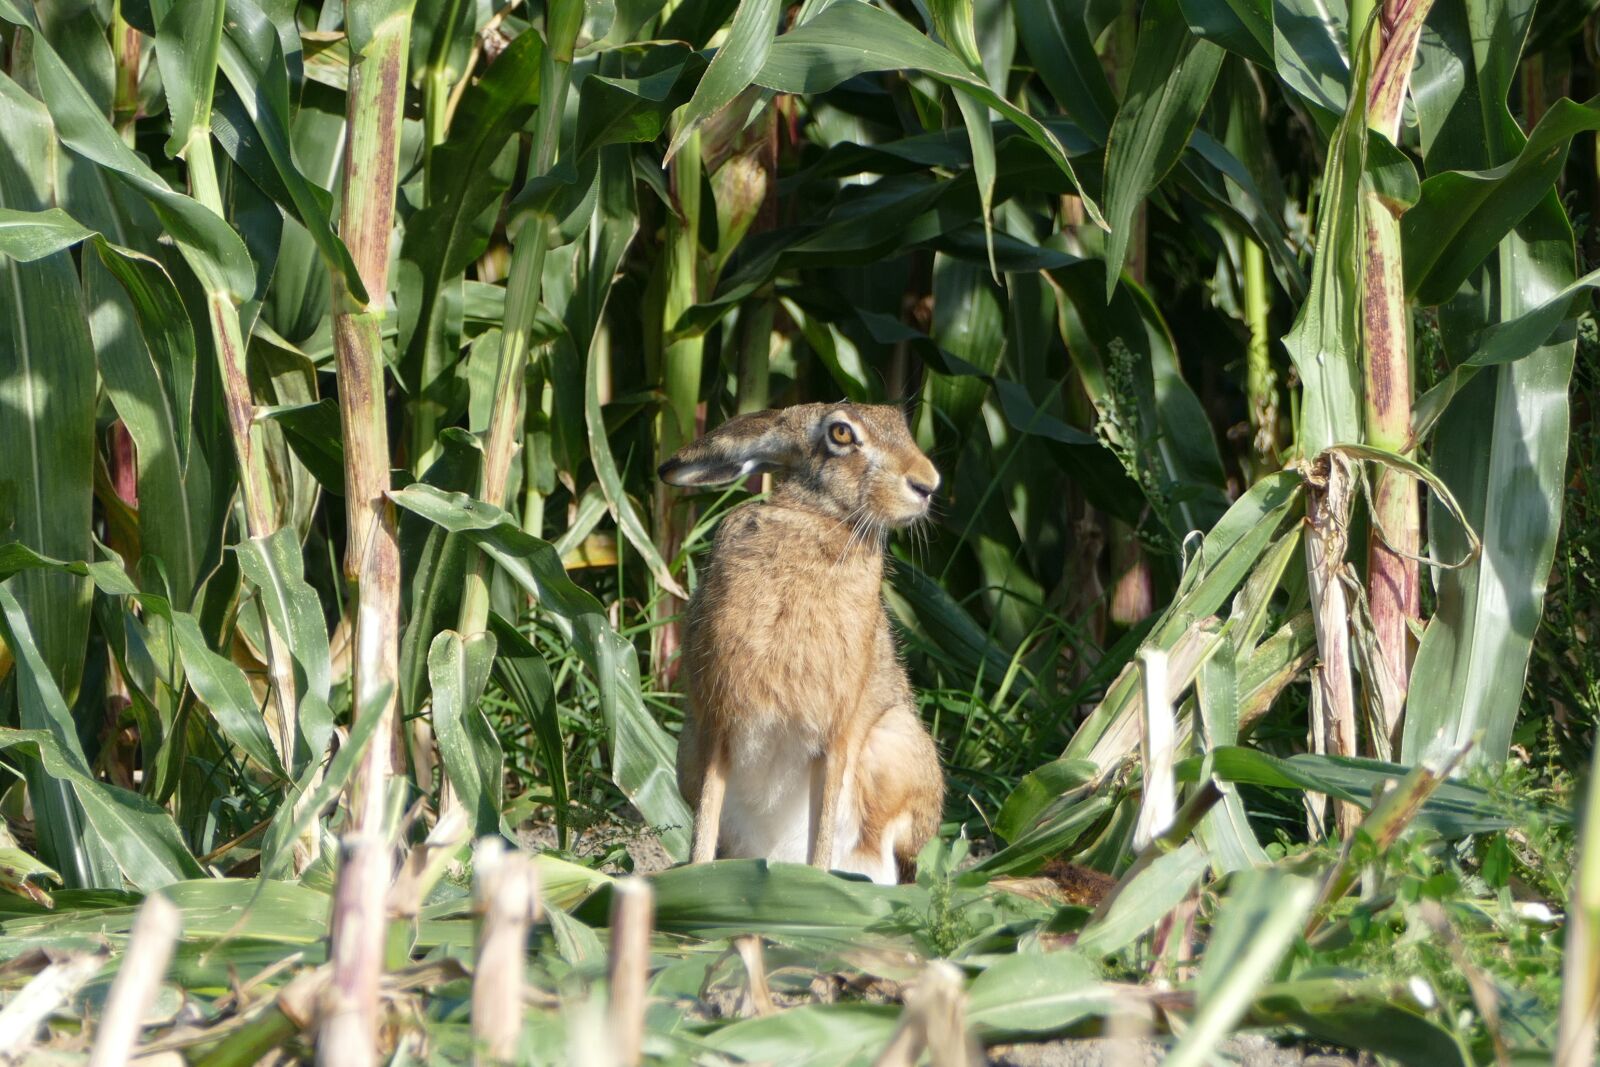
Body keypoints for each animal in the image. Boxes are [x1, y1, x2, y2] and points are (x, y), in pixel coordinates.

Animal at [658, 402, 945, 885]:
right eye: (841, 433)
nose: (927, 484)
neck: (815, 520)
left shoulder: (835, 733)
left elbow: (823, 831)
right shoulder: (718, 721)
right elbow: (705, 822)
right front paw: (695, 877)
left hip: (895, 746)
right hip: (688, 751)